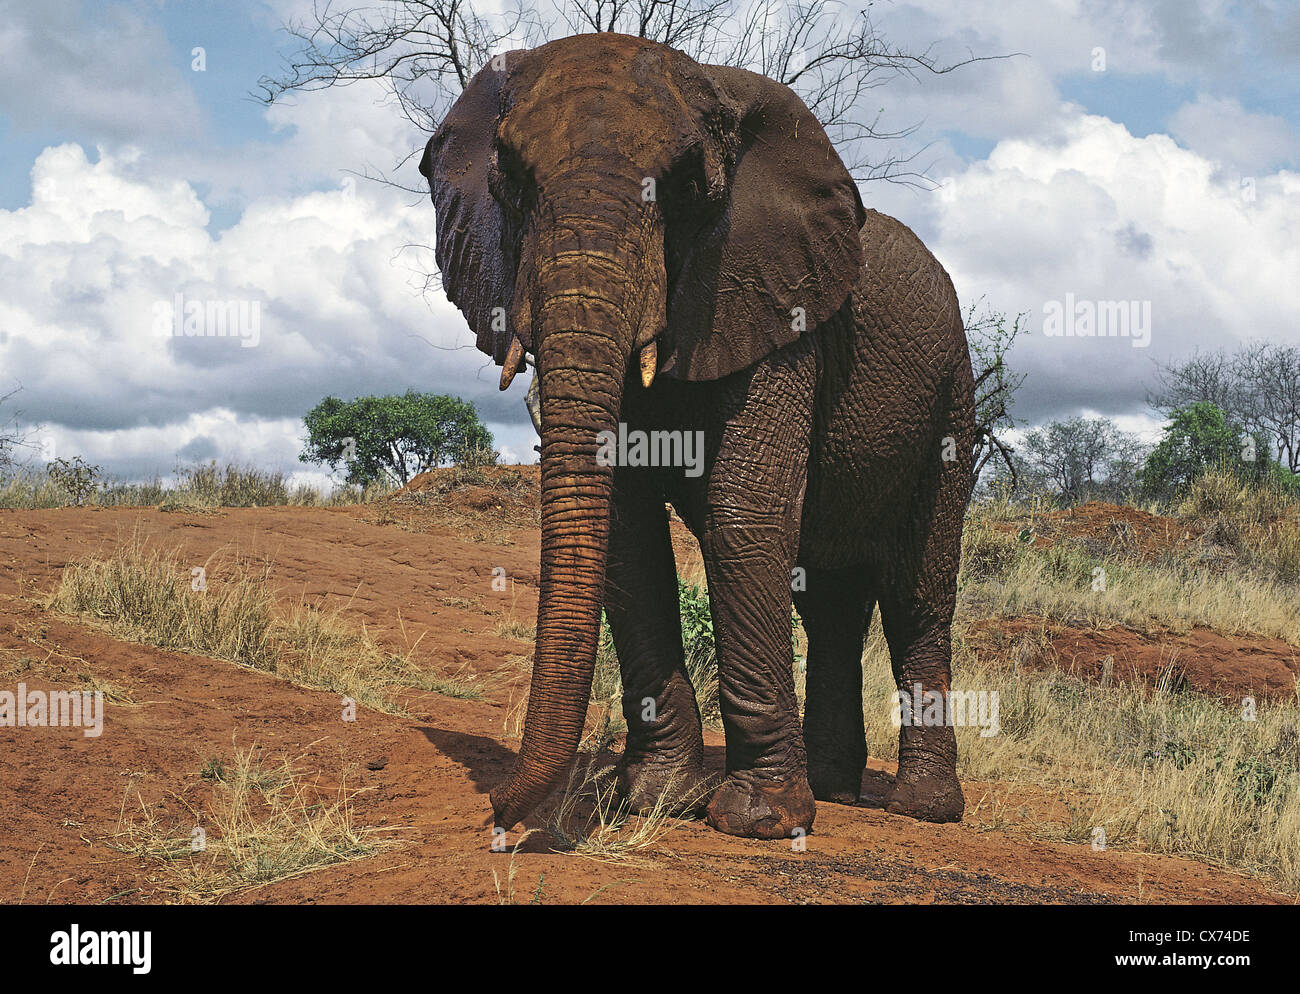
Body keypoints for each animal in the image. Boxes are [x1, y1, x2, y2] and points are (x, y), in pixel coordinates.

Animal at [418, 32, 977, 836]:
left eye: (684, 187)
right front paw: (660, 800)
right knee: (830, 602)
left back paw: (921, 810)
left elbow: (744, 512)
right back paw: (835, 788)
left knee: (915, 597)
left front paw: (758, 819)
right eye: (512, 183)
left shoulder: (777, 302)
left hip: (952, 402)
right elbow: (626, 528)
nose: (498, 819)